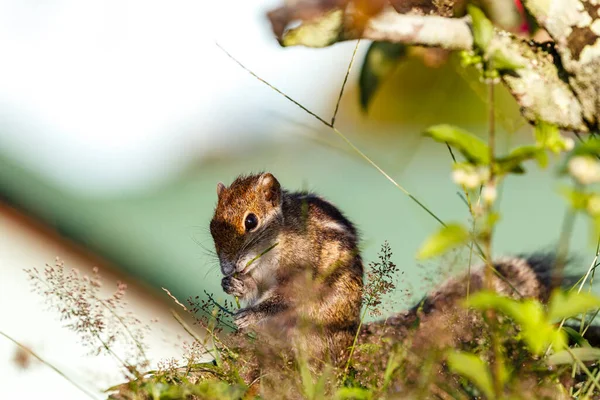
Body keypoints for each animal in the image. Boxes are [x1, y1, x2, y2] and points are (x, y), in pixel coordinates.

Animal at [209, 172, 364, 362]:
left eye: (251, 221)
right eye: (212, 226)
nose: (227, 269)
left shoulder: (301, 270)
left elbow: (287, 295)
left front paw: (250, 314)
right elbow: (255, 288)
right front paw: (233, 284)